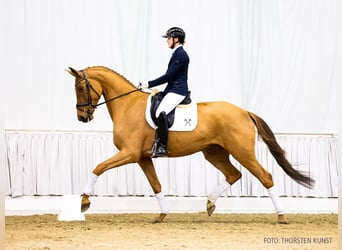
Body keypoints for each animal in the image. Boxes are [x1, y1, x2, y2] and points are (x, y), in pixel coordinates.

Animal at [68, 66, 314, 223]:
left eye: (80, 88)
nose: (82, 117)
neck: (127, 105)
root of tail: (244, 111)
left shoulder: (129, 153)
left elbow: (98, 167)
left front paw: (84, 201)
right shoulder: (143, 157)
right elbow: (156, 185)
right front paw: (162, 215)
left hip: (242, 152)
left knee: (265, 177)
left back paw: (281, 216)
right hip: (214, 153)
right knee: (234, 174)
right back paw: (210, 204)